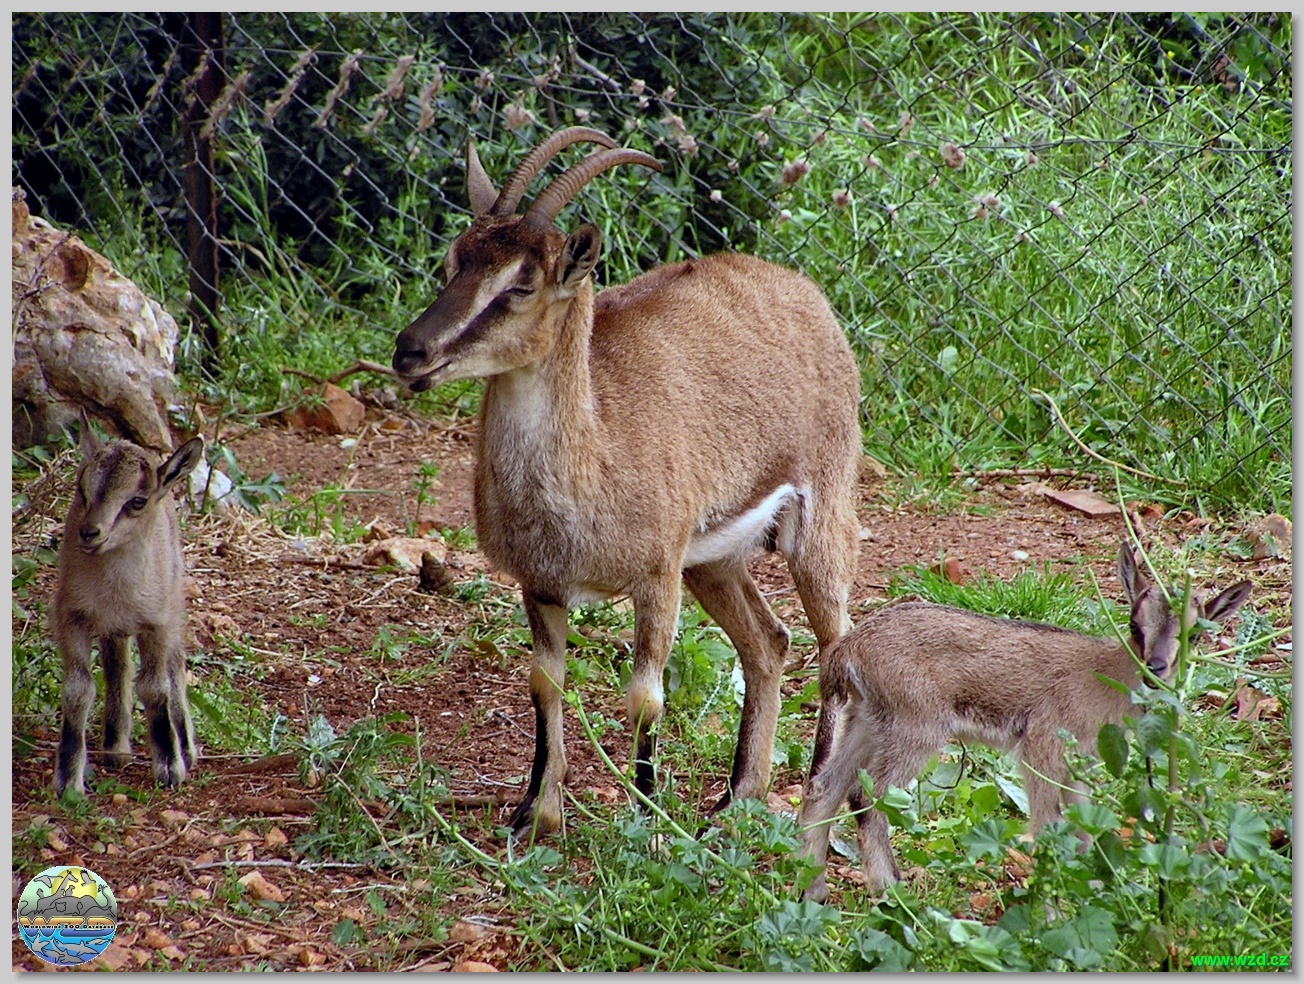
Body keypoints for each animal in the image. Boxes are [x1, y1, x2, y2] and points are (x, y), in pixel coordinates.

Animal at [51, 414, 205, 796]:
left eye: (137, 500)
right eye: (82, 488)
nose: (90, 533)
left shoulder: (156, 624)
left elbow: (155, 687)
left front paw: (169, 767)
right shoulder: (71, 617)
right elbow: (78, 690)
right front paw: (68, 781)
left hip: (173, 604)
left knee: (175, 666)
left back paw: (185, 747)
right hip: (112, 628)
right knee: (117, 665)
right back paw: (115, 746)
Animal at [391, 126, 861, 837]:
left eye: (523, 283)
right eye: (454, 260)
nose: (411, 351)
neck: (592, 457)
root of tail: (805, 295)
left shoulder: (656, 577)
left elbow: (645, 697)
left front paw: (645, 821)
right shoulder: (542, 584)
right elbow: (545, 683)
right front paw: (536, 816)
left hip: (818, 521)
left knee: (834, 648)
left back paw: (811, 814)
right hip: (714, 560)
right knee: (769, 642)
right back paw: (736, 800)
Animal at [796, 543, 1252, 900]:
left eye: (1195, 635)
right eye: (1133, 625)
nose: (1155, 668)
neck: (1105, 677)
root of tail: (849, 651)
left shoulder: (1080, 762)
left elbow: (1084, 823)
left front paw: (1094, 890)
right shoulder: (1042, 745)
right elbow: (1047, 826)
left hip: (867, 721)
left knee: (824, 787)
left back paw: (813, 890)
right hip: (915, 726)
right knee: (865, 795)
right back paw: (890, 889)